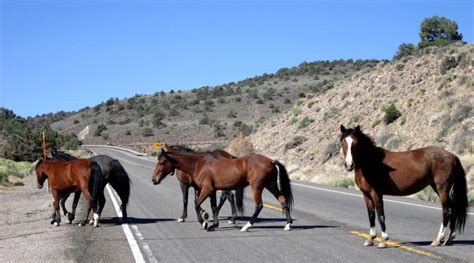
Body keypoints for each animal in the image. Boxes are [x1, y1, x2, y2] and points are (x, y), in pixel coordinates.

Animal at [154, 144, 292, 233]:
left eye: (161, 162)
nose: (154, 180)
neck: (199, 164)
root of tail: (271, 161)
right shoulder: (211, 191)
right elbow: (214, 207)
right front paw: (213, 224)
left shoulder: (206, 189)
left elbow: (196, 204)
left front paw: (204, 222)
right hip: (271, 185)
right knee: (283, 200)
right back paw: (288, 225)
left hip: (257, 187)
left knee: (259, 206)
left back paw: (246, 226)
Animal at [338, 125, 468, 249]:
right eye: (343, 142)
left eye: (356, 143)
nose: (349, 165)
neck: (371, 162)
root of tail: (452, 156)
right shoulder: (366, 195)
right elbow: (371, 215)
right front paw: (370, 239)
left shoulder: (376, 193)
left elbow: (380, 215)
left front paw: (383, 241)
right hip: (437, 188)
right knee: (453, 208)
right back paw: (449, 239)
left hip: (442, 189)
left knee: (446, 210)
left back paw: (438, 239)